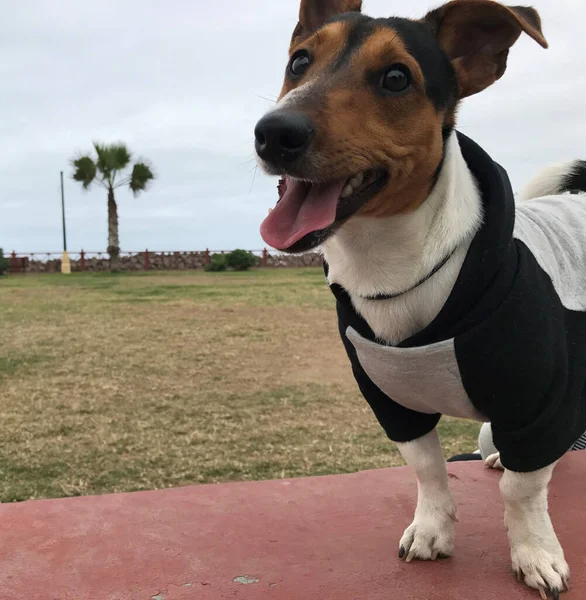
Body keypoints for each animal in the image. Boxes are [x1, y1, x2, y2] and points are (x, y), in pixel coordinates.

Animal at [253, 2, 584, 596]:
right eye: (299, 61)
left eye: (396, 78)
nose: (273, 132)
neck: (395, 269)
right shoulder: (390, 399)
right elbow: (428, 468)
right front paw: (433, 530)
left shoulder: (543, 399)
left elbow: (523, 491)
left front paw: (535, 552)